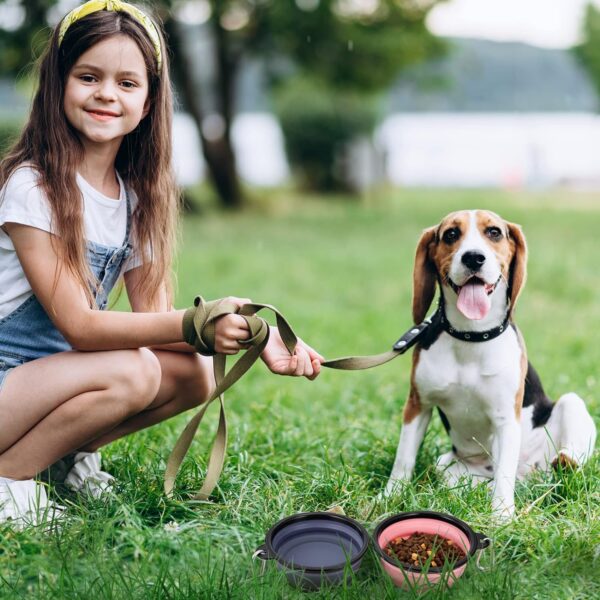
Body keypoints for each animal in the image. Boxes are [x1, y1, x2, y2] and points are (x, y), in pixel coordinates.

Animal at [384, 210, 596, 516]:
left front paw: (502, 517)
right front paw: (387, 499)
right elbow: (403, 460)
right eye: (450, 234)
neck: (471, 335)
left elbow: (503, 475)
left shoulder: (506, 418)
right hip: (445, 465)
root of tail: (528, 476)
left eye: (494, 232)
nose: (474, 258)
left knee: (563, 462)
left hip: (571, 404)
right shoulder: (417, 405)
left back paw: (564, 463)